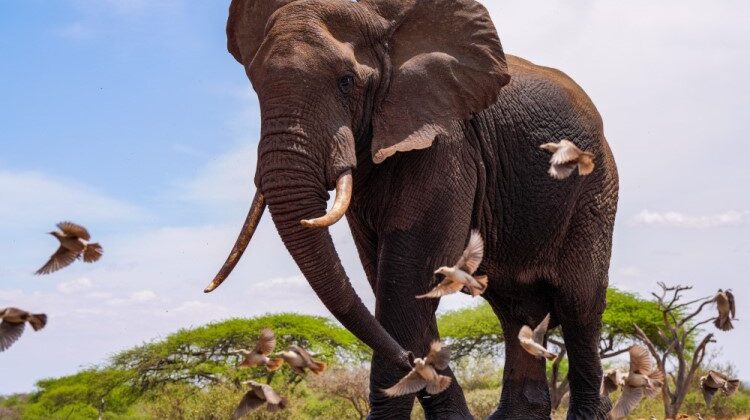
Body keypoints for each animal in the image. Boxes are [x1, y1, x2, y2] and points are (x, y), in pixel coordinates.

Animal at [204, 0, 618, 418]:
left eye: (346, 81)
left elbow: (408, 275)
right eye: (255, 88)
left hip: (595, 189)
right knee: (517, 312)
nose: (416, 363)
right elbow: (387, 279)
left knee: (578, 303)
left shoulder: (446, 142)